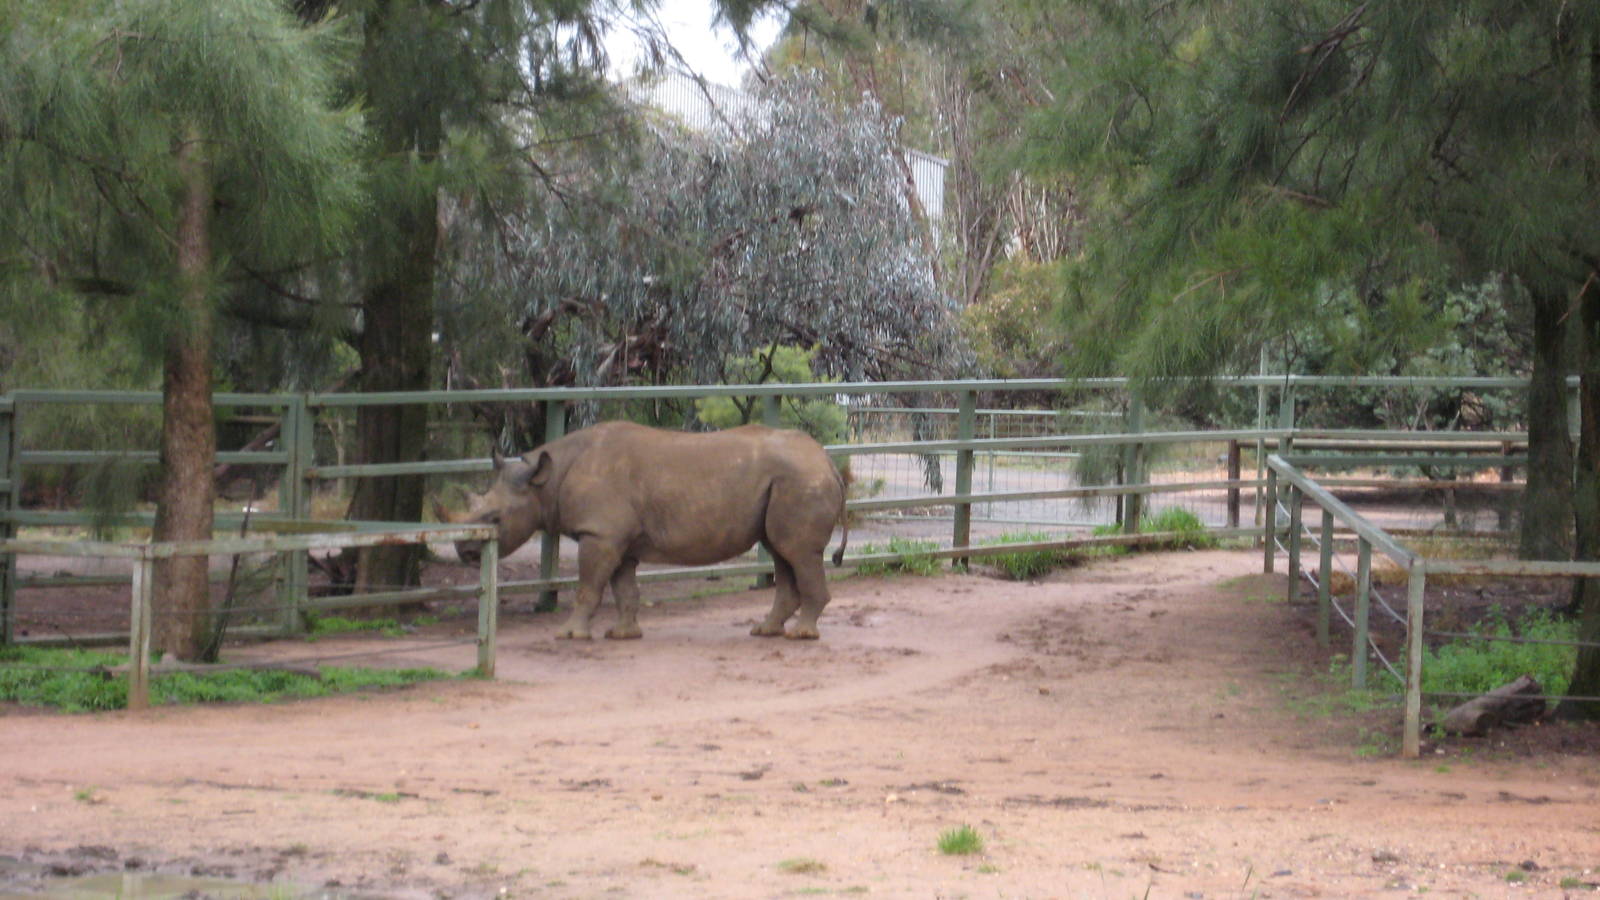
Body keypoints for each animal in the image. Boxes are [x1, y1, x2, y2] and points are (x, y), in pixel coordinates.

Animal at [441, 421, 849, 641]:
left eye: (495, 518)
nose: (466, 553)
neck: (546, 480)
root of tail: (827, 460)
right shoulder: (616, 539)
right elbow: (624, 590)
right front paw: (622, 635)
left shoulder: (599, 534)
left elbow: (588, 587)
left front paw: (570, 635)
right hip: (791, 480)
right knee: (782, 552)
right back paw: (765, 631)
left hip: (801, 480)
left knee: (798, 553)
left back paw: (802, 635)